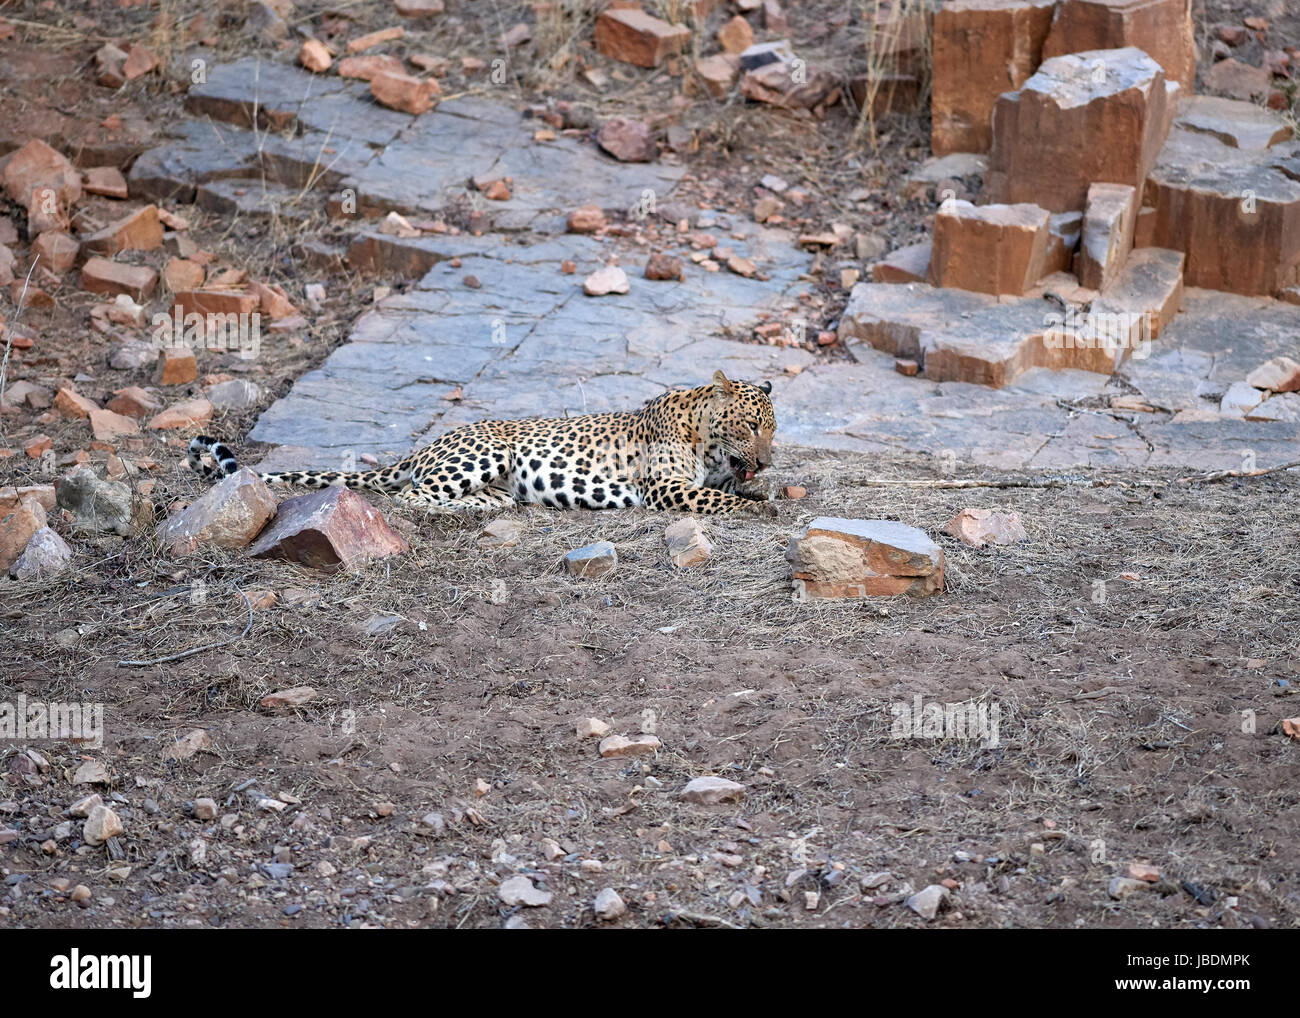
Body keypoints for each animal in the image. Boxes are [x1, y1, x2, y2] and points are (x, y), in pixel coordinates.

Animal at [188, 369, 774, 517]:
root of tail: (425, 445)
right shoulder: (665, 485)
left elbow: (731, 490)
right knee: (412, 497)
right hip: (485, 451)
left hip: (495, 477)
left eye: (773, 428)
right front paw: (764, 506)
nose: (768, 461)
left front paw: (763, 491)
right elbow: (715, 498)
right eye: (749, 425)